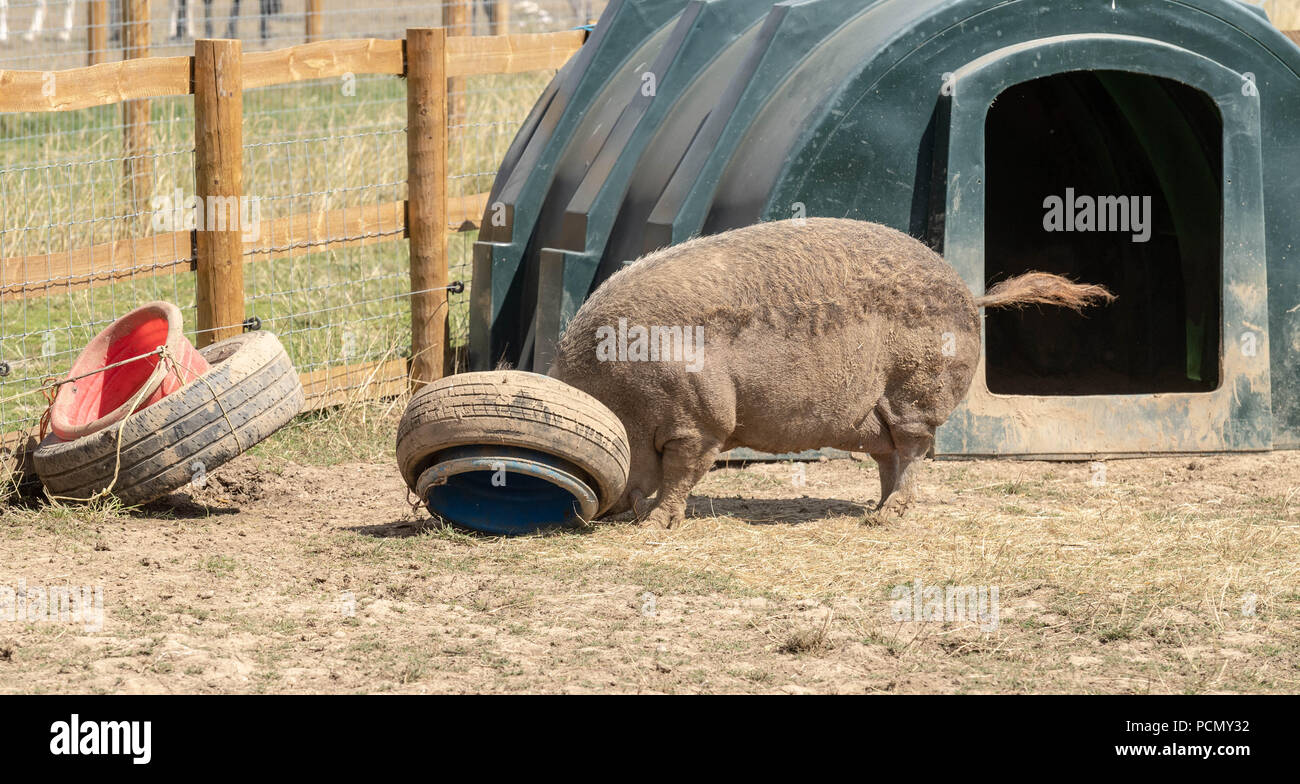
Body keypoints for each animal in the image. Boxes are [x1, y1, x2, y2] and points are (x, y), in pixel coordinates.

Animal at [543, 218, 1112, 530]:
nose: (578, 513)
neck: (622, 397)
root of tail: (971, 294)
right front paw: (644, 516)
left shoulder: (702, 419)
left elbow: (683, 473)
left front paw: (657, 525)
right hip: (871, 414)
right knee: (888, 454)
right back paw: (871, 509)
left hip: (915, 391)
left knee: (914, 449)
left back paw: (887, 517)